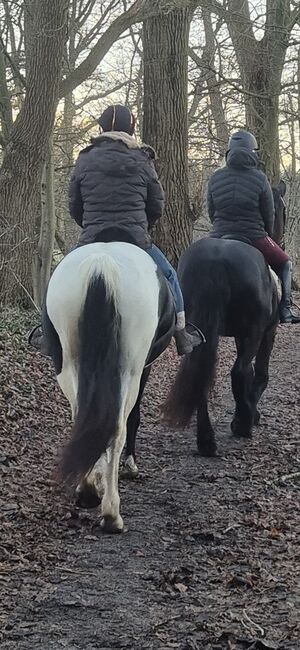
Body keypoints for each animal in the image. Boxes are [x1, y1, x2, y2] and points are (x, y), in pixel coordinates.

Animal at [43, 240, 175, 528]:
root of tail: (101, 264)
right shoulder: (143, 368)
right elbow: (133, 417)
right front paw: (130, 466)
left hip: (67, 363)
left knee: (83, 418)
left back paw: (87, 490)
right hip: (130, 370)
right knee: (117, 428)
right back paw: (112, 513)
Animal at [163, 235, 280, 454]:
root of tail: (215, 259)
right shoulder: (267, 332)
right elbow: (260, 374)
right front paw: (249, 415)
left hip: (199, 330)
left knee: (201, 375)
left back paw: (206, 441)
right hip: (254, 331)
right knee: (239, 371)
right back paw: (243, 425)